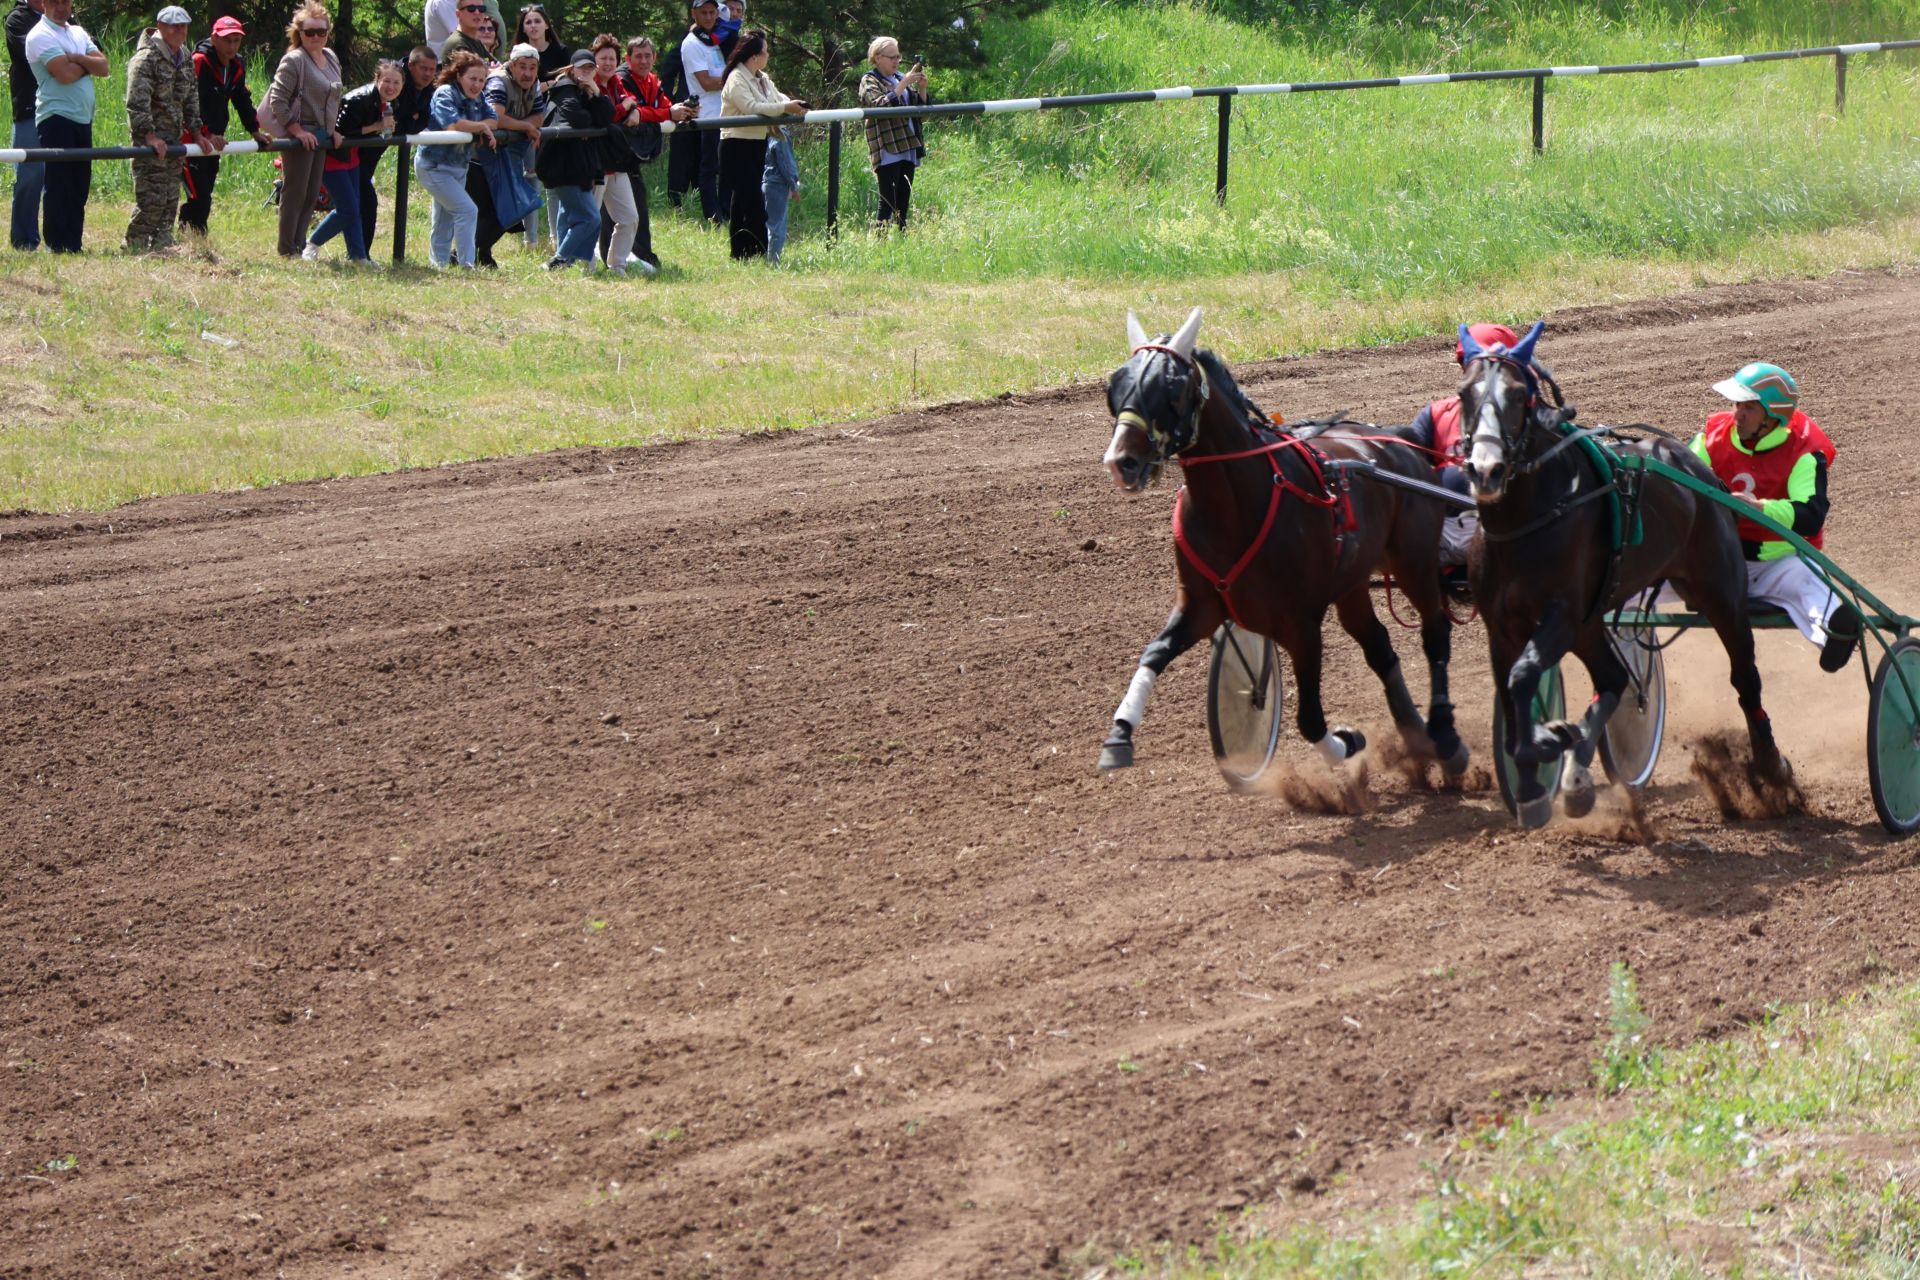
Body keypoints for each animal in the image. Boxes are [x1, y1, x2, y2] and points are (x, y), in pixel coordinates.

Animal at [1459, 320, 1789, 832]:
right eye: (1464, 393)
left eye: (1516, 394)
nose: (1486, 470)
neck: (1526, 522)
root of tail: (1696, 468)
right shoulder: (1503, 625)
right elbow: (1514, 694)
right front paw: (1539, 768)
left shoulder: (1560, 617)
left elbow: (1523, 677)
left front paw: (1545, 748)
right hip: (1593, 621)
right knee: (1613, 678)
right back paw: (1576, 778)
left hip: (1721, 594)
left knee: (1745, 678)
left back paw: (1770, 764)